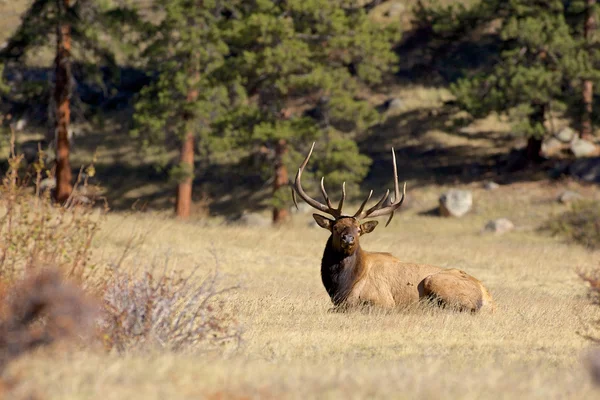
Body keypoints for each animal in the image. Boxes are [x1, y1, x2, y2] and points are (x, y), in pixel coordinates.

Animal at [290, 144, 492, 312]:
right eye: (336, 227)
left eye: (359, 230)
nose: (348, 239)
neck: (342, 286)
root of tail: (489, 299)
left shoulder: (383, 301)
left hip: (435, 281)